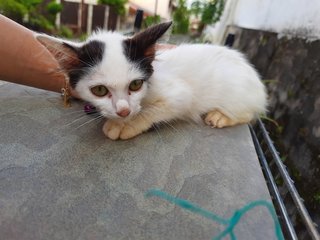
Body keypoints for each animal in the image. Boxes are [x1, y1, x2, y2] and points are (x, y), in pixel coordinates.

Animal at [37, 22, 268, 141]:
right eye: (100, 90)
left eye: (135, 85)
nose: (123, 111)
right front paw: (116, 118)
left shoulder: (181, 96)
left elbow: (156, 109)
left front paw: (125, 125)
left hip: (239, 94)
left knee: (250, 114)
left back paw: (220, 116)